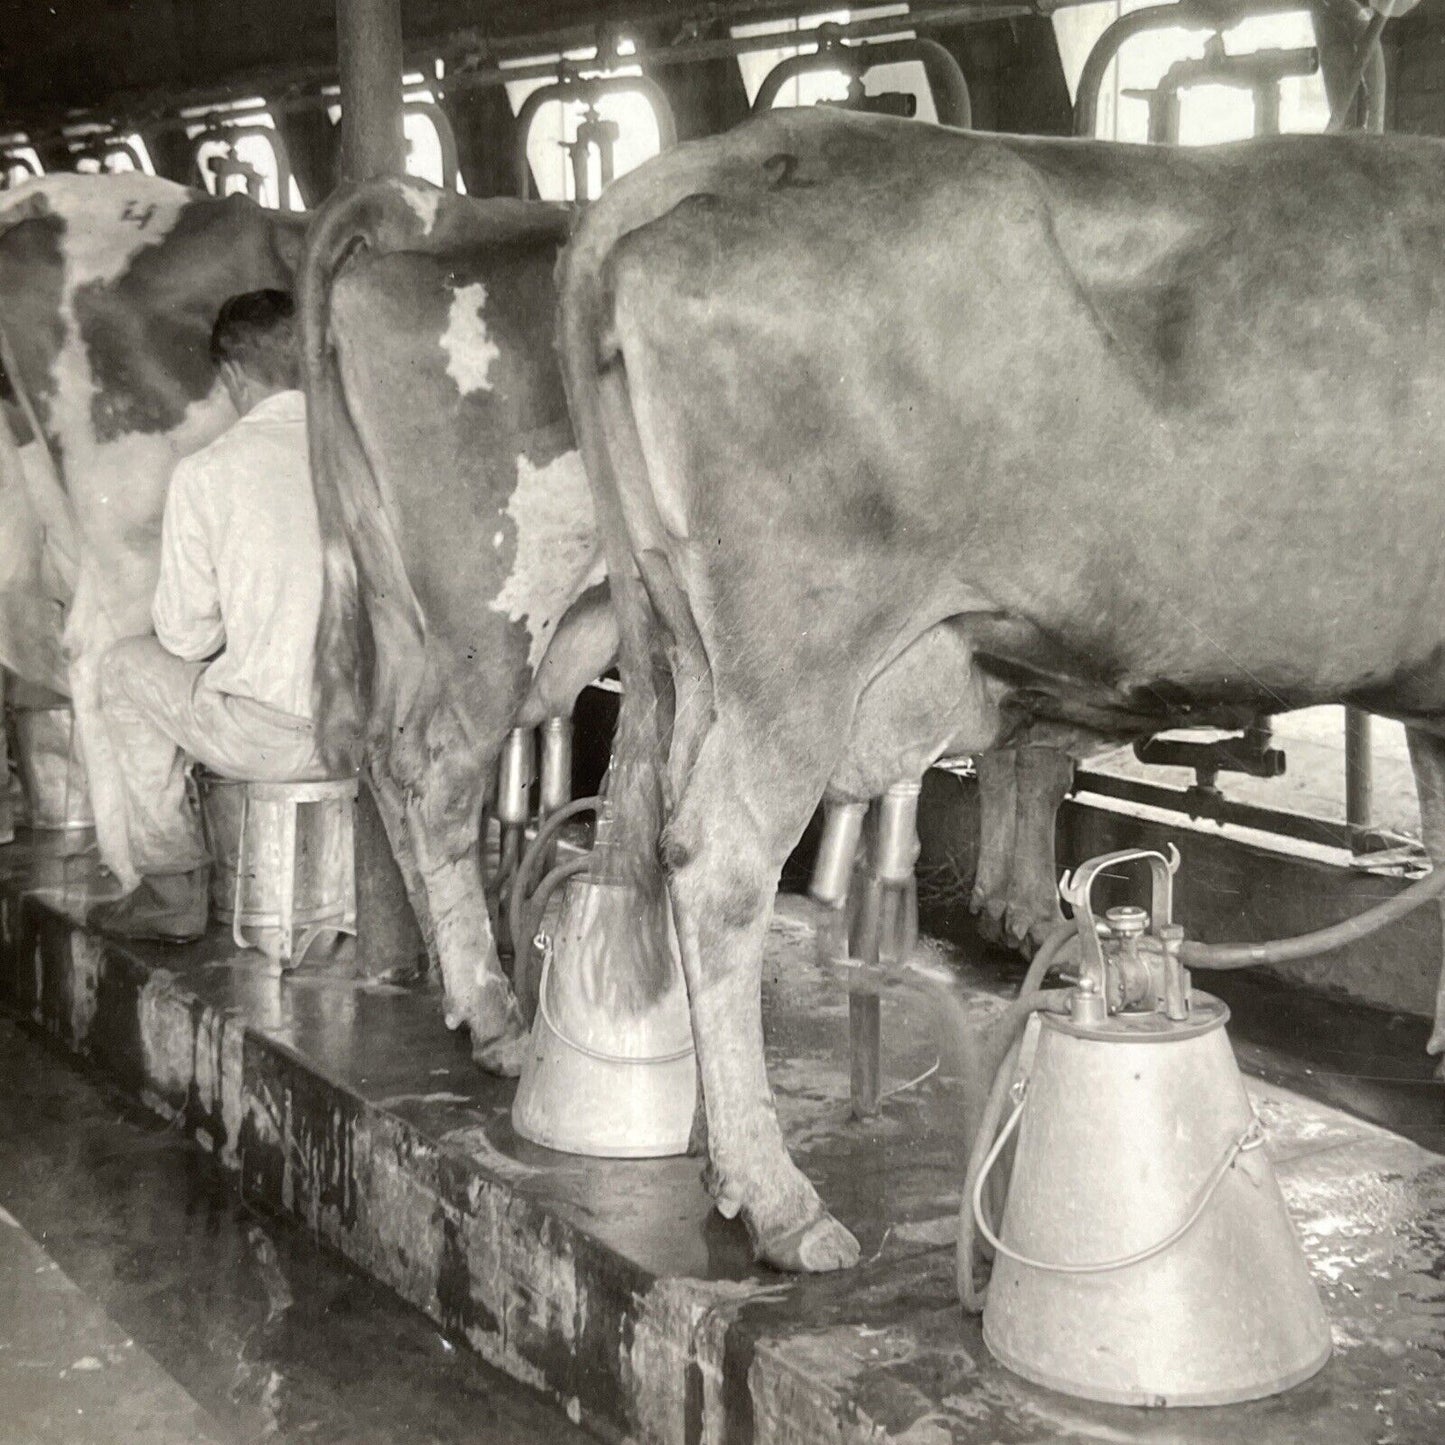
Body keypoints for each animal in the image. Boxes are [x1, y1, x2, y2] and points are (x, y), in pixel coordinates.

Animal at [302, 177, 618, 1075]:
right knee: (441, 777)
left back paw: (453, 982)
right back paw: (493, 1015)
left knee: (388, 755)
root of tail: (426, 207)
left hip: (397, 601)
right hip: (498, 608)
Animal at [554, 106, 1445, 1271]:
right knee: (717, 864)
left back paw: (723, 1166)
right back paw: (782, 1201)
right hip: (800, 650)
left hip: (695, 647)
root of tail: (748, 146)